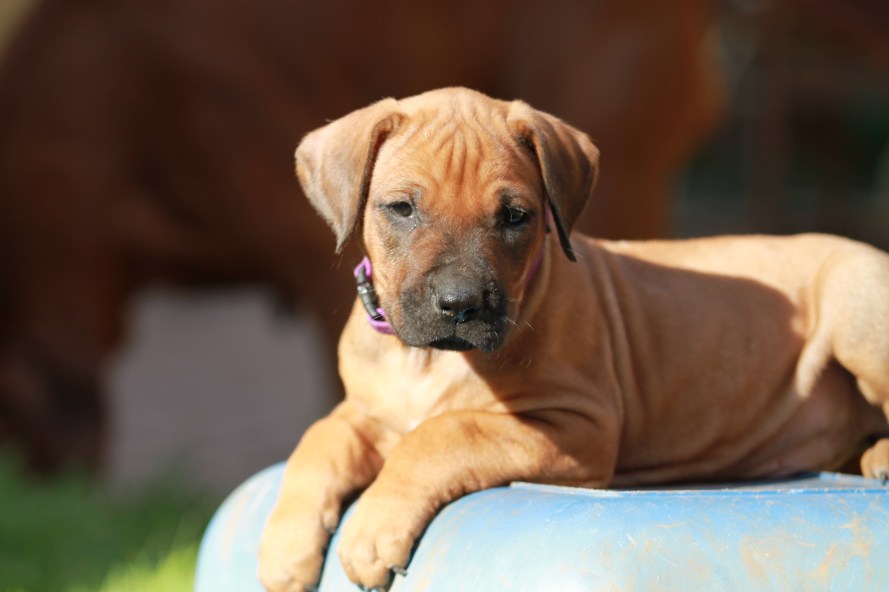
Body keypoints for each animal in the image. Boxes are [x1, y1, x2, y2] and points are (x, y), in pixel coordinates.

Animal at [259, 87, 889, 591]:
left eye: (515, 216)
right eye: (400, 209)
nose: (462, 305)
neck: (427, 363)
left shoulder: (577, 426)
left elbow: (443, 432)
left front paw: (372, 531)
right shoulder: (366, 410)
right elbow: (318, 440)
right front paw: (283, 548)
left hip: (855, 303)